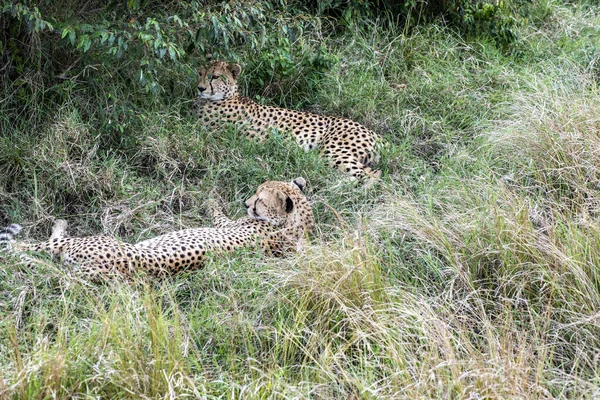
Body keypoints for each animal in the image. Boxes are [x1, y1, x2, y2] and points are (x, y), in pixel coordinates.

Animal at [0, 178, 316, 278]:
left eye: (260, 199)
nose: (247, 202)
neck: (294, 229)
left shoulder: (228, 225)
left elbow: (217, 214)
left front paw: (210, 198)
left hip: (81, 242)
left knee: (24, 247)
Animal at [199, 60, 382, 180]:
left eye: (214, 76)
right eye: (200, 74)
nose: (200, 88)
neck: (227, 96)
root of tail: (374, 132)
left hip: (331, 152)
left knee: (373, 175)